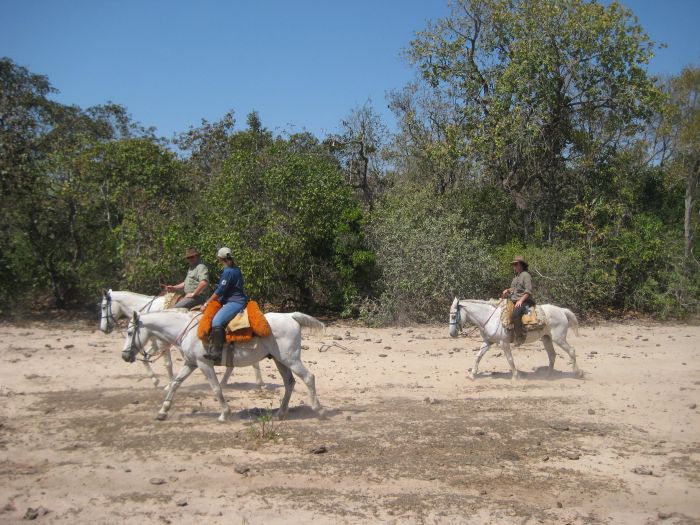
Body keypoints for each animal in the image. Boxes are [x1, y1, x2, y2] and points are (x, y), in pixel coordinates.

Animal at [98, 290, 262, 388]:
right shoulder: (156, 344)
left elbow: (167, 364)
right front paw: (157, 381)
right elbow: (146, 359)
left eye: (103, 307)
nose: (103, 328)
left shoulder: (162, 344)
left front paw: (167, 384)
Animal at [121, 310, 326, 420]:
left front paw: (224, 414)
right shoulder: (190, 363)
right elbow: (175, 384)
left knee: (309, 378)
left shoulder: (204, 364)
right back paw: (280, 414)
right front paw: (163, 412)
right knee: (289, 383)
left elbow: (216, 388)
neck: (189, 331)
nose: (124, 356)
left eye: (130, 332)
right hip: (279, 360)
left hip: (291, 359)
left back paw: (319, 410)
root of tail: (291, 316)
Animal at [452, 296, 584, 378]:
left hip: (559, 339)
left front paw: (515, 376)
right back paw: (548, 375)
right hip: (546, 338)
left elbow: (510, 359)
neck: (490, 317)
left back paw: (578, 373)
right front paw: (472, 375)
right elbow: (478, 357)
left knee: (571, 351)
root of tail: (562, 311)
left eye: (453, 316)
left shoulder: (503, 343)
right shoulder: (488, 342)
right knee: (552, 355)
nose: (452, 334)